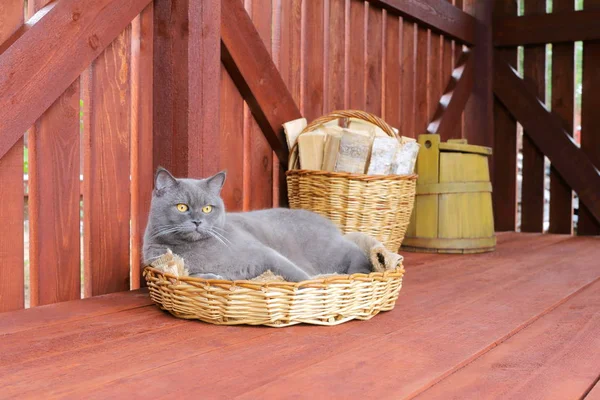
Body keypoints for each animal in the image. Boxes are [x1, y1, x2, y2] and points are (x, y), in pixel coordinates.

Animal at [143, 166, 372, 282]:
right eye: (182, 207)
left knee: (356, 250)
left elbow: (297, 275)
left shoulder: (266, 254)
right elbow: (197, 275)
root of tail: (328, 223)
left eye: (208, 208)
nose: (197, 221)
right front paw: (214, 276)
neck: (197, 248)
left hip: (326, 249)